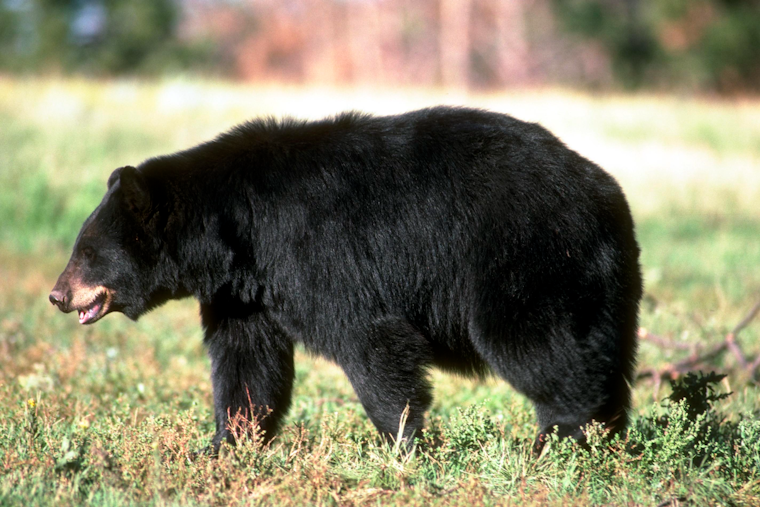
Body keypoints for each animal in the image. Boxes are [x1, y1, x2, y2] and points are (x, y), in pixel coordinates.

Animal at [49, 106, 642, 455]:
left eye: (87, 251)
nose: (58, 294)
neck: (236, 231)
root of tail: (606, 191)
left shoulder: (316, 250)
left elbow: (368, 338)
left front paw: (402, 445)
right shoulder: (244, 292)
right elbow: (247, 362)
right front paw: (225, 446)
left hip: (525, 255)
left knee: (536, 345)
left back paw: (560, 440)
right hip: (603, 282)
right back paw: (607, 437)